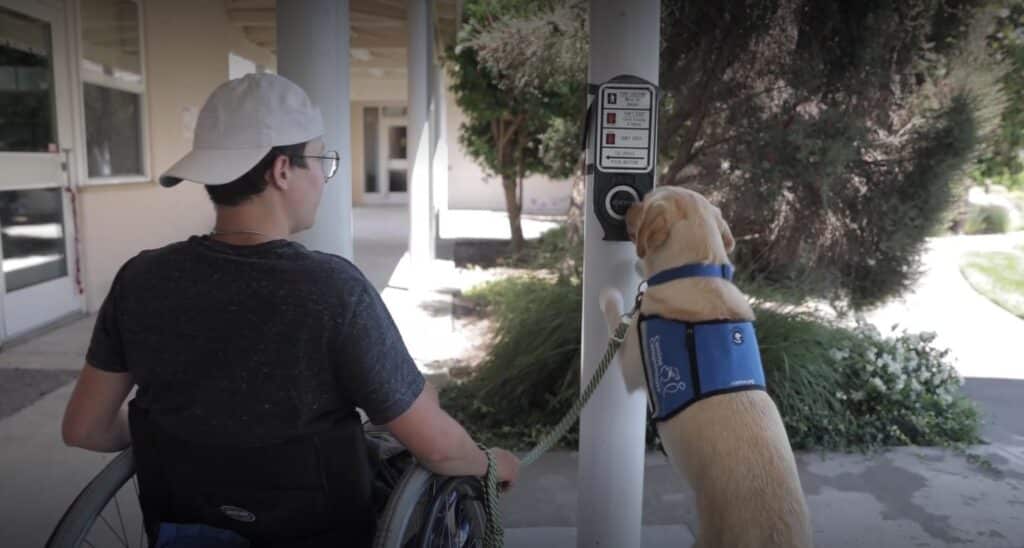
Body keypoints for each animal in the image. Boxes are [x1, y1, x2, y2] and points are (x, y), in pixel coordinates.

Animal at [598, 186, 811, 544]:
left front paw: (610, 292)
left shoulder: (632, 359)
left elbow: (617, 315)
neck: (697, 269)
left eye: (646, 201)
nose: (628, 206)